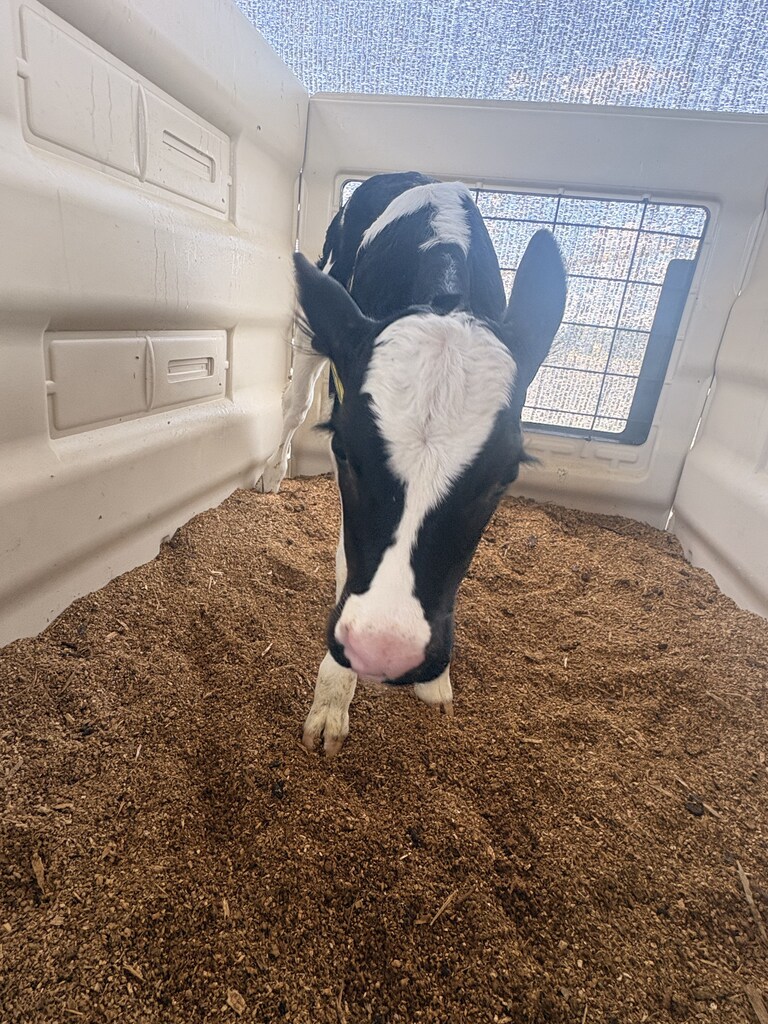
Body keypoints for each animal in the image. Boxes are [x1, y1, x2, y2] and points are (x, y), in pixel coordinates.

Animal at [260, 172, 567, 755]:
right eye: (344, 453)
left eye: (504, 478)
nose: (385, 651)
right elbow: (347, 559)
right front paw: (332, 701)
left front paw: (436, 682)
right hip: (318, 311)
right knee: (294, 398)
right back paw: (271, 470)